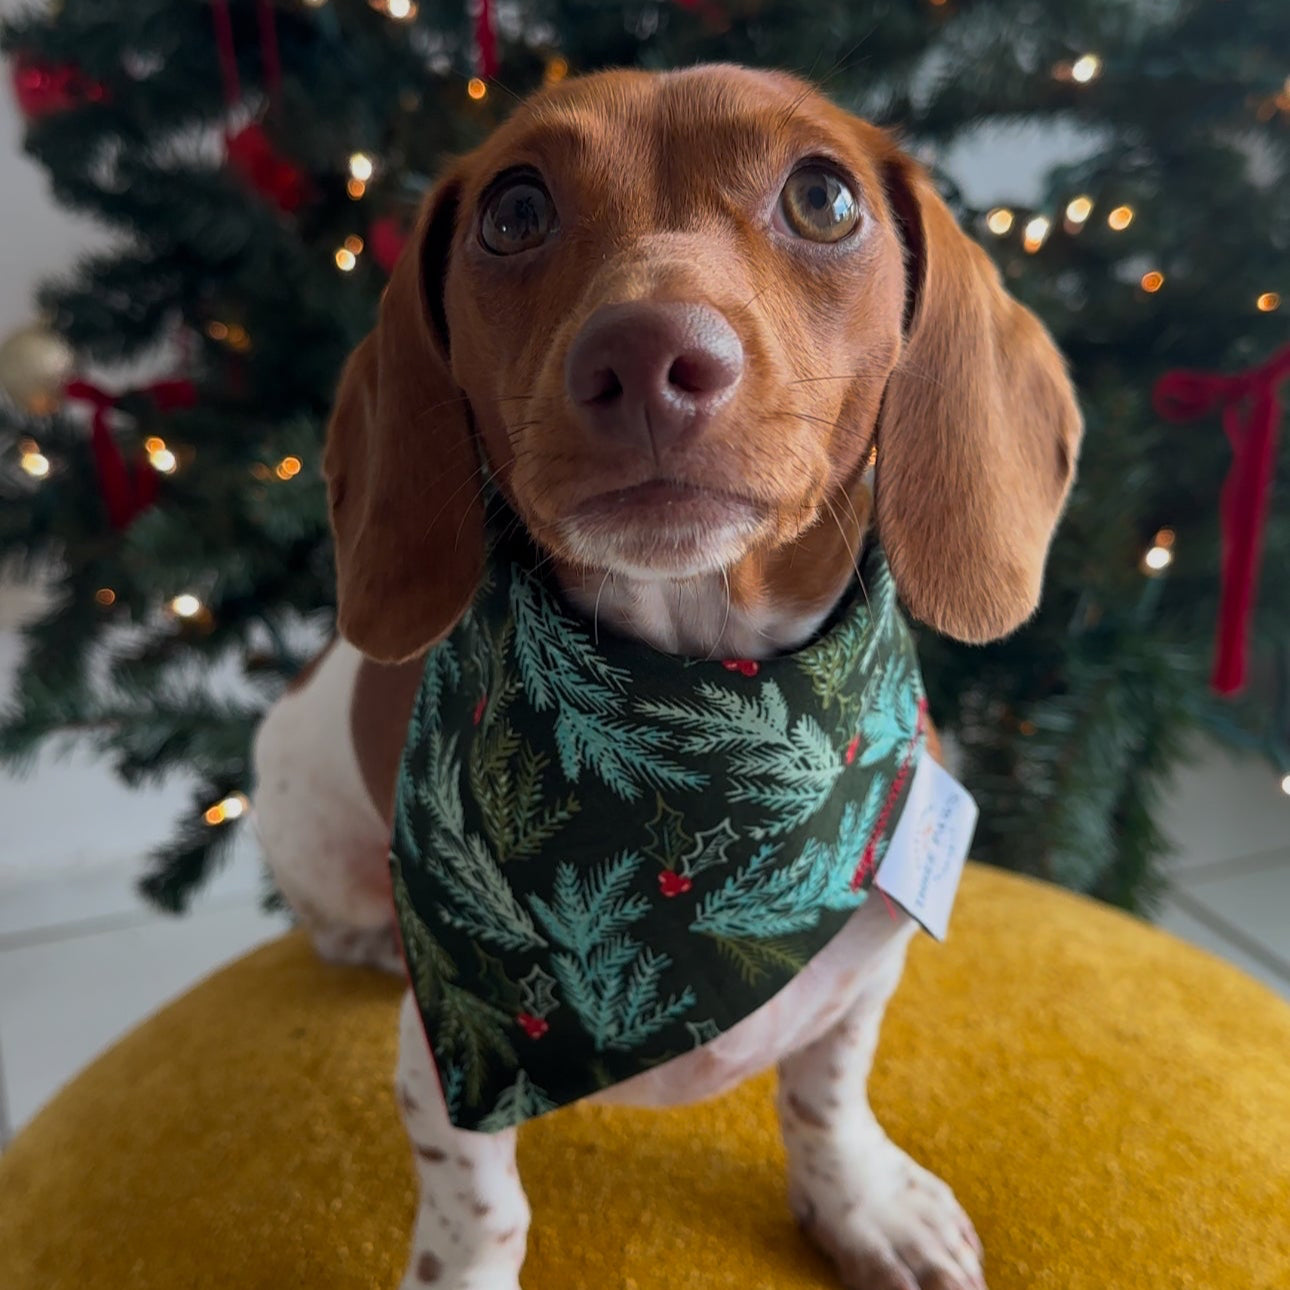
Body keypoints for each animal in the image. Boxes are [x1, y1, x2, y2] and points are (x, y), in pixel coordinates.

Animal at [251, 62, 1078, 1290]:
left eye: (824, 198)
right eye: (514, 211)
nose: (643, 357)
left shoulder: (863, 973)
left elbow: (828, 1093)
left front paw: (864, 1205)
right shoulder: (448, 1052)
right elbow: (480, 1210)